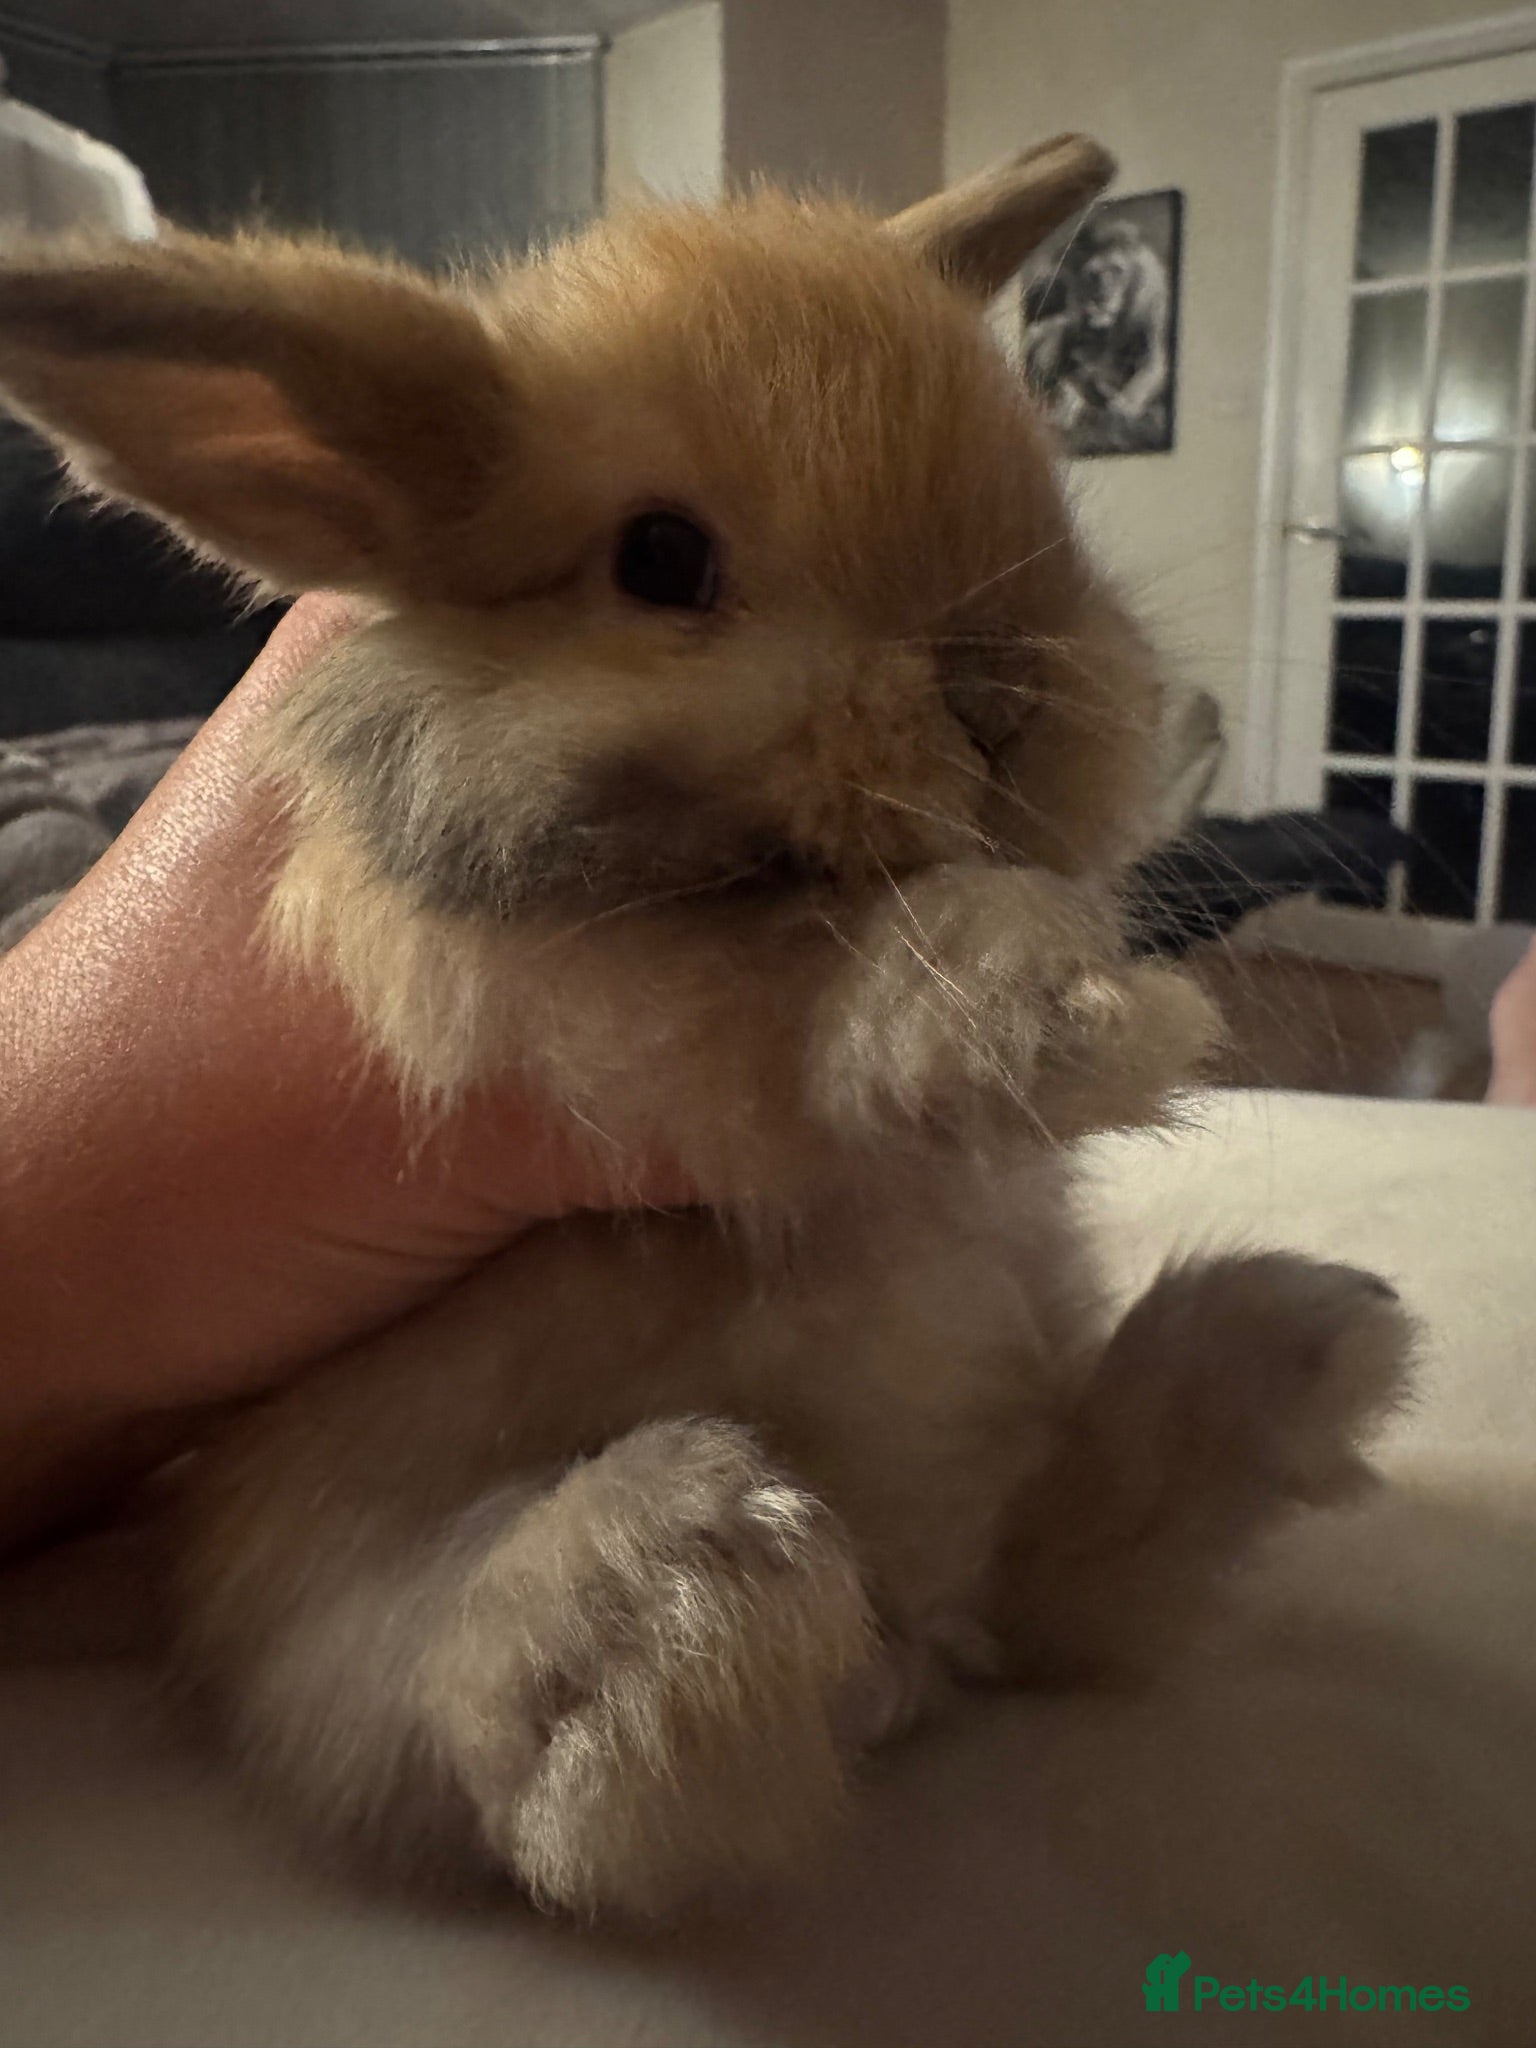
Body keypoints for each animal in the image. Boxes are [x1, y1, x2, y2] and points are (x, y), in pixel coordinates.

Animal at [0, 135, 1414, 1920]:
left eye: (1044, 484)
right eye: (663, 560)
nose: (1009, 699)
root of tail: (906, 1623)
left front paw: (1070, 993)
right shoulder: (584, 1016)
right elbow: (797, 992)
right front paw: (1054, 1002)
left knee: (1052, 1586)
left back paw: (1300, 1354)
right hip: (349, 1604)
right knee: (508, 1755)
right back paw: (673, 1596)